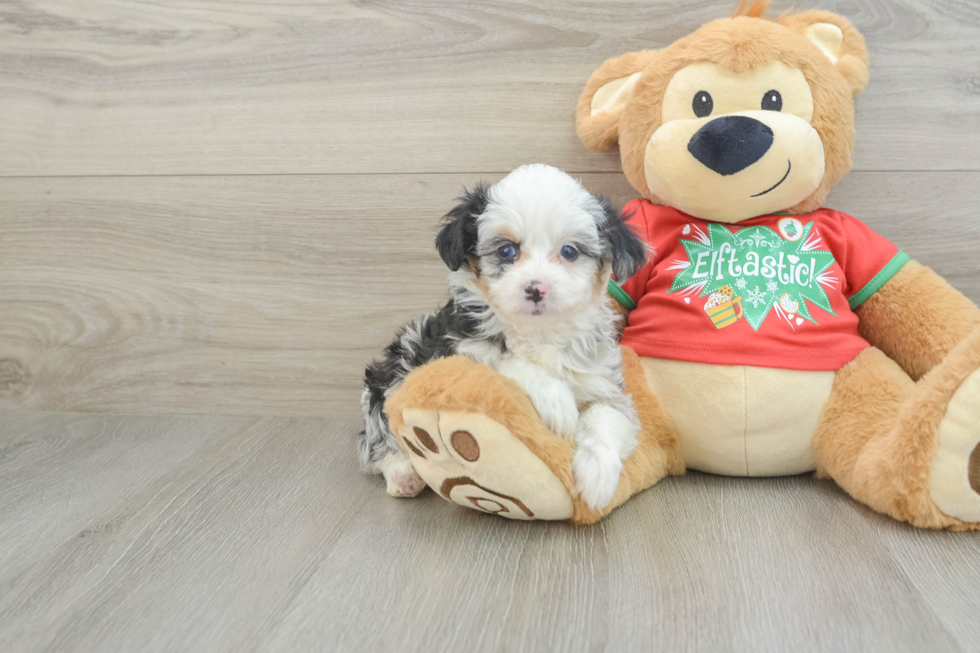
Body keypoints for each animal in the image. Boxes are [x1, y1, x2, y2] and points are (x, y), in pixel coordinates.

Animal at [360, 163, 652, 510]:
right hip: (395, 366)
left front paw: (597, 477)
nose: (536, 288)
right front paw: (558, 404)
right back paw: (403, 473)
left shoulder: (602, 380)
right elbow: (508, 362)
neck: (538, 332)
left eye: (569, 251)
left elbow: (607, 415)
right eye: (506, 250)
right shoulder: (458, 353)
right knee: (377, 435)